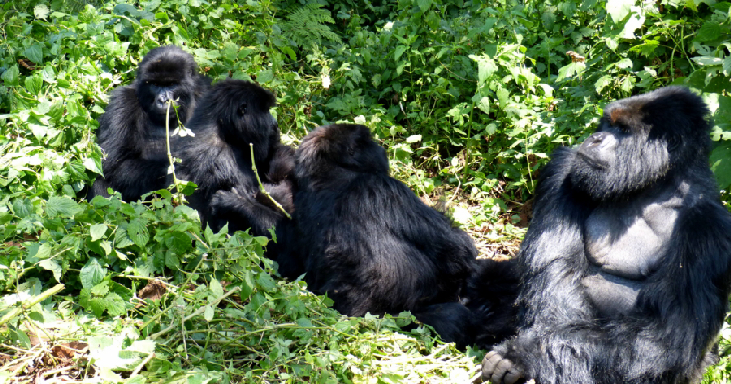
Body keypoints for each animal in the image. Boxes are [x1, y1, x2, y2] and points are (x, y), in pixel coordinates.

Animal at [89, 45, 212, 201]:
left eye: (171, 84)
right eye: (154, 84)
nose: (163, 100)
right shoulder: (122, 102)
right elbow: (112, 165)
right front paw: (176, 168)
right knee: (101, 182)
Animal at [480, 87, 731, 384]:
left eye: (622, 129)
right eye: (608, 125)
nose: (596, 137)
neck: (655, 185)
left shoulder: (709, 225)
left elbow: (668, 334)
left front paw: (523, 356)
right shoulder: (566, 167)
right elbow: (557, 278)